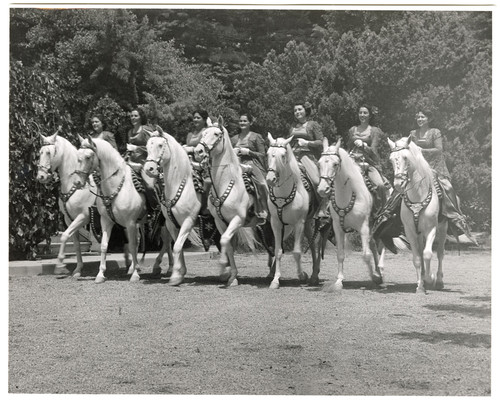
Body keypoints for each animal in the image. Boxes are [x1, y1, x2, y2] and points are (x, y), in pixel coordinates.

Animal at [36, 130, 99, 278]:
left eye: (48, 152)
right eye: (40, 152)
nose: (41, 176)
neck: (73, 184)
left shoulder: (83, 216)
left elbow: (64, 236)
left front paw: (60, 266)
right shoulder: (69, 219)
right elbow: (76, 244)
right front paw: (78, 270)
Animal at [143, 124, 201, 286]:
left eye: (160, 145)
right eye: (147, 146)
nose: (149, 169)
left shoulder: (188, 221)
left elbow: (177, 246)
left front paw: (175, 275)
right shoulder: (170, 223)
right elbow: (176, 246)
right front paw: (179, 273)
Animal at [266, 134, 324, 288]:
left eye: (283, 155)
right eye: (268, 153)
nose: (270, 179)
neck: (284, 194)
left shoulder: (299, 223)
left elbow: (297, 252)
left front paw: (302, 275)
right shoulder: (276, 223)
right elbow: (278, 250)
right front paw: (275, 280)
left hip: (311, 222)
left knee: (316, 244)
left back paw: (314, 276)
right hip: (302, 224)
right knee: (312, 244)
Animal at [318, 139, 384, 290]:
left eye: (335, 164)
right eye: (319, 163)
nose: (322, 189)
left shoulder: (363, 227)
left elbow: (366, 255)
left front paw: (375, 277)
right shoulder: (338, 228)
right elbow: (340, 254)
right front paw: (339, 281)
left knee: (376, 246)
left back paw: (379, 272)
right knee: (373, 245)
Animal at [388, 137, 448, 294]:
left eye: (405, 158)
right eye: (391, 159)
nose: (398, 184)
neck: (418, 196)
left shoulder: (431, 229)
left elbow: (428, 254)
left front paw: (430, 278)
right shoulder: (410, 231)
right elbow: (417, 258)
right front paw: (420, 286)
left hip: (442, 228)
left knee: (440, 253)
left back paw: (439, 280)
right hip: (419, 233)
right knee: (421, 253)